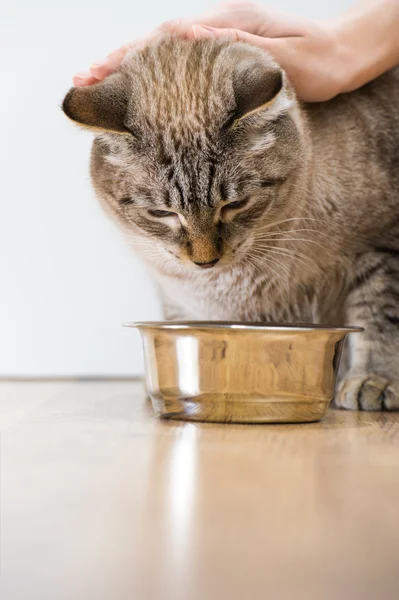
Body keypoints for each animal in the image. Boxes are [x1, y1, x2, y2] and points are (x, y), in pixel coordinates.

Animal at [61, 35, 399, 410]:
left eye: (234, 205)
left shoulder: (381, 247)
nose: (205, 261)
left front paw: (373, 381)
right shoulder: (178, 299)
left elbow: (379, 320)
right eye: (163, 214)